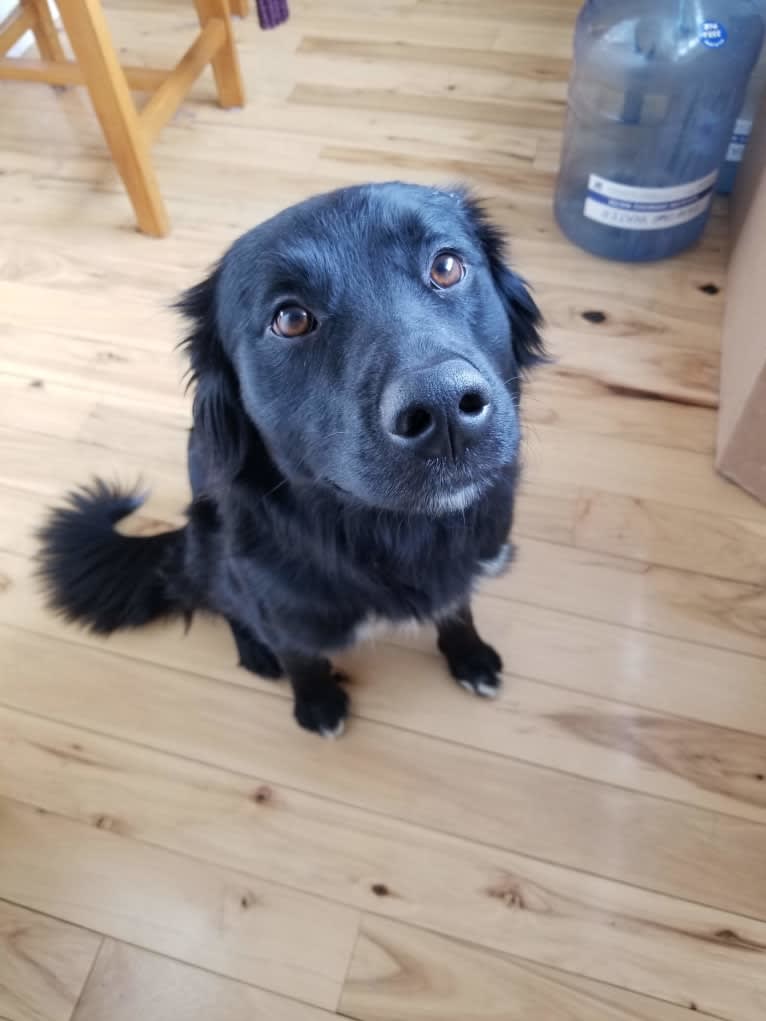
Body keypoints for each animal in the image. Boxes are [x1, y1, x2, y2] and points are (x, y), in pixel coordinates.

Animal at [37, 183, 547, 739]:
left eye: (447, 267)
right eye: (291, 318)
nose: (445, 408)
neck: (396, 534)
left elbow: (458, 607)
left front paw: (469, 656)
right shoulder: (277, 604)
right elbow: (299, 655)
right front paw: (317, 703)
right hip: (211, 543)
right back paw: (255, 651)